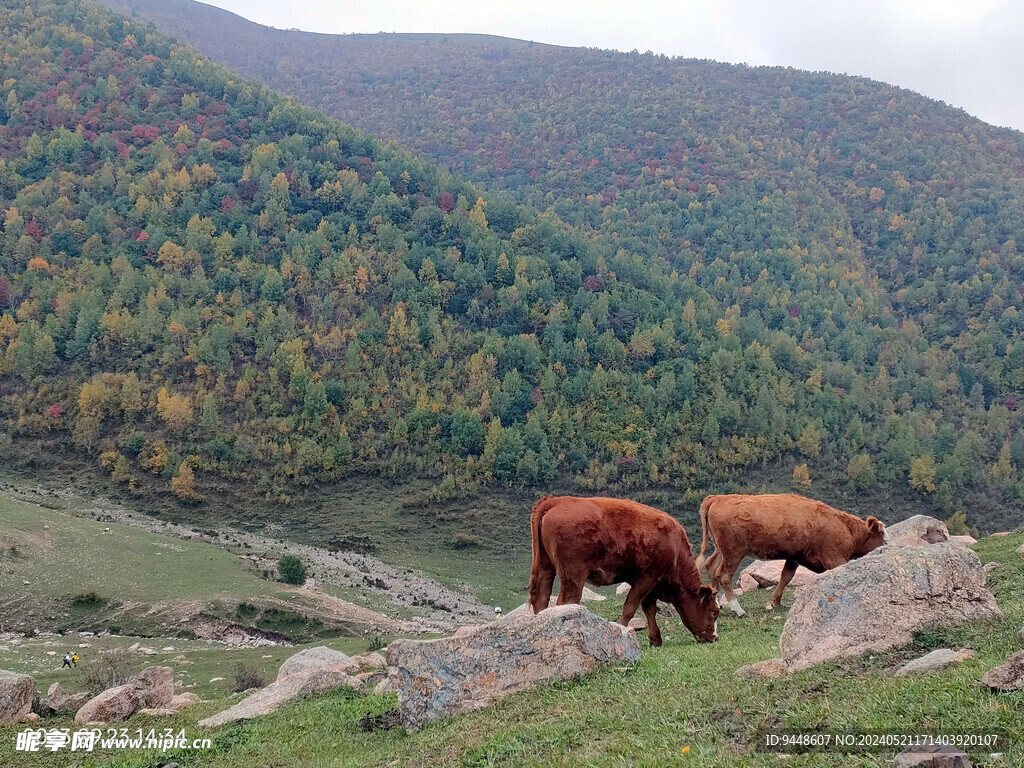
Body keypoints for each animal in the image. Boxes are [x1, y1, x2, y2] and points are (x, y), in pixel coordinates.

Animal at [528, 495, 720, 647]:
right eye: (714, 613)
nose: (715, 638)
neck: (674, 546)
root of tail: (556, 501)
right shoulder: (648, 577)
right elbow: (630, 606)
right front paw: (622, 630)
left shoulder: (649, 583)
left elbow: (649, 608)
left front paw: (655, 639)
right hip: (573, 576)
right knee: (566, 602)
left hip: (546, 568)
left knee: (541, 600)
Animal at [696, 493, 888, 618]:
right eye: (881, 536)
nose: (888, 546)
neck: (846, 529)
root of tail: (717, 498)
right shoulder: (835, 558)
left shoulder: (795, 556)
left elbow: (786, 577)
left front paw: (775, 602)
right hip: (734, 552)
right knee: (723, 575)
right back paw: (738, 609)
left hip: (722, 550)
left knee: (711, 567)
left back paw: (717, 603)